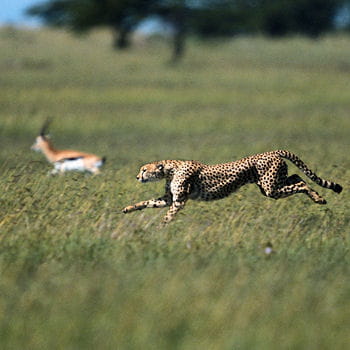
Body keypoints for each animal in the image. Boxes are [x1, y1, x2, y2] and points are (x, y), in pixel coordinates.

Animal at [123, 150, 342, 224]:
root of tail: (274, 151)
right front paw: (128, 208)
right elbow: (147, 202)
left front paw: (161, 228)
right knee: (297, 177)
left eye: (144, 170)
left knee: (302, 182)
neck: (170, 169)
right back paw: (317, 196)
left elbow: (168, 215)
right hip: (271, 184)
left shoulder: (179, 201)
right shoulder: (170, 198)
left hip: (270, 188)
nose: (137, 176)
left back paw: (319, 198)